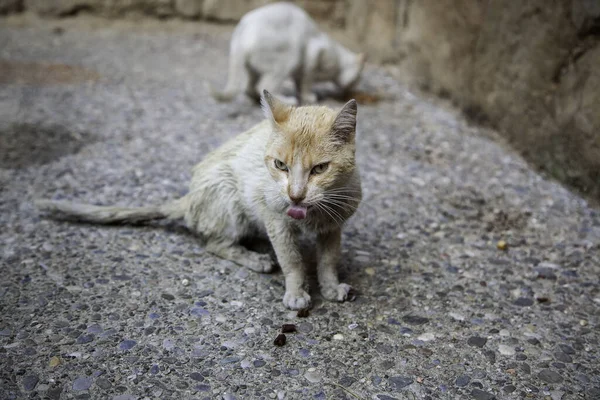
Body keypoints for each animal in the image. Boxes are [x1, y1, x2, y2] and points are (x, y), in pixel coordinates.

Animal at [38, 92, 366, 310]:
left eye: (320, 169)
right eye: (280, 165)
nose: (295, 195)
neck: (313, 212)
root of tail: (189, 197)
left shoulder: (333, 226)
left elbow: (328, 260)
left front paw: (330, 287)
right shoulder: (274, 219)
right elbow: (292, 260)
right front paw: (297, 292)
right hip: (230, 202)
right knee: (212, 242)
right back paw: (254, 258)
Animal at [212, 1, 366, 104]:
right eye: (359, 77)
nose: (356, 85)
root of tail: (241, 32)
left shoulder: (300, 70)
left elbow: (299, 82)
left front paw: (302, 94)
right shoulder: (314, 55)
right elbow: (307, 81)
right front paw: (308, 97)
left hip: (253, 67)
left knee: (249, 87)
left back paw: (259, 99)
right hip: (288, 57)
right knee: (265, 85)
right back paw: (286, 101)